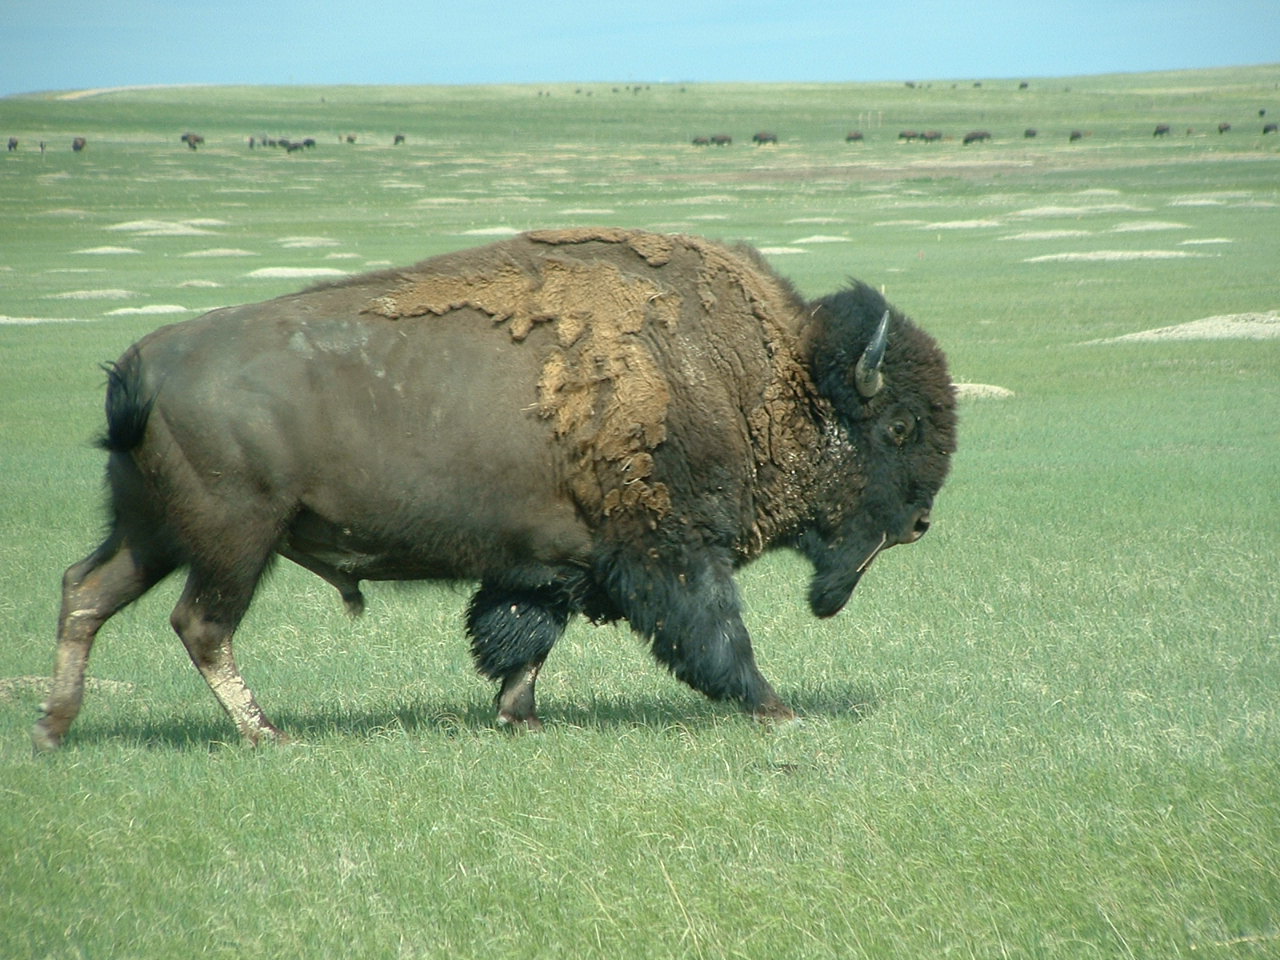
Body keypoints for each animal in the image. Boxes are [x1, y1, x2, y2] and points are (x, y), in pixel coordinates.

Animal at [31, 228, 957, 750]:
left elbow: (523, 638)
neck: (747, 375)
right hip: (235, 538)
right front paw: (778, 710)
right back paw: (268, 736)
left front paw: (520, 717)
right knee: (201, 625)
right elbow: (721, 638)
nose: (919, 522)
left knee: (85, 592)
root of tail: (142, 366)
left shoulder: (548, 565)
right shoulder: (673, 555)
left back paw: (53, 729)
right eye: (899, 426)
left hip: (152, 531)